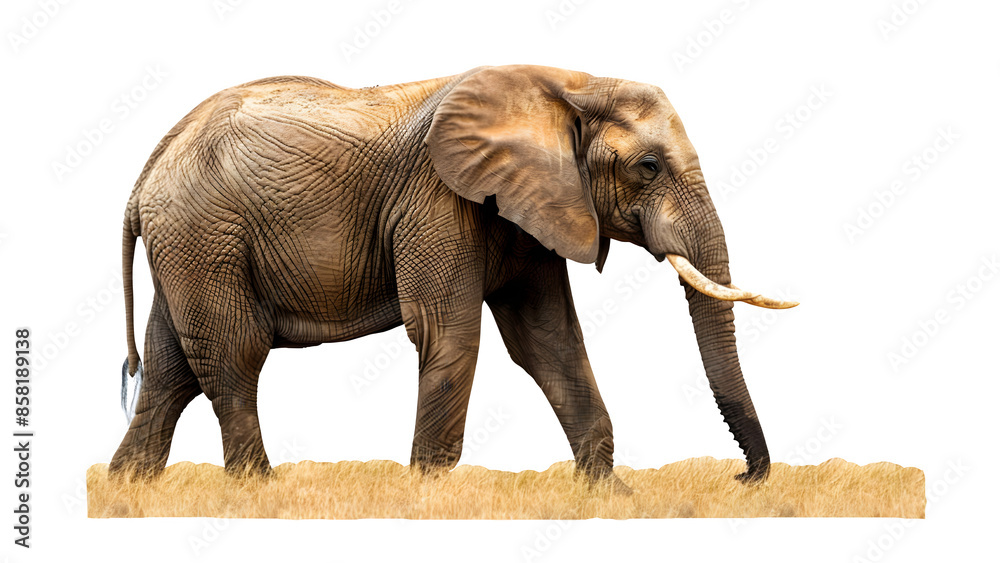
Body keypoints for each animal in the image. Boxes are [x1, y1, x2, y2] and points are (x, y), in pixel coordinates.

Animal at [109, 65, 797, 488]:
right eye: (649, 166)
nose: (741, 476)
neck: (568, 84)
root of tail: (144, 176)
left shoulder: (532, 211)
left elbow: (549, 342)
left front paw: (608, 496)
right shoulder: (439, 200)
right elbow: (451, 334)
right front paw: (428, 493)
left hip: (189, 245)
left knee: (171, 370)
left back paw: (127, 489)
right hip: (206, 235)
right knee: (233, 356)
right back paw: (259, 491)